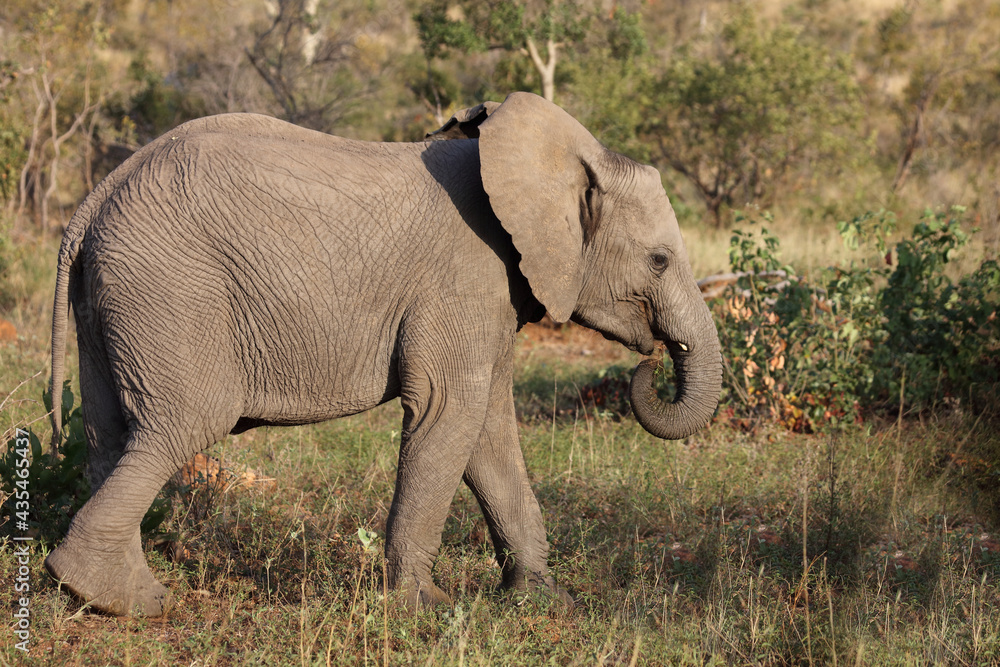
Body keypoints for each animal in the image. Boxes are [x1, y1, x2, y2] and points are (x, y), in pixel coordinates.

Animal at [46, 92, 722, 617]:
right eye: (659, 260)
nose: (651, 361)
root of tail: (92, 204)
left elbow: (488, 431)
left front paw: (545, 603)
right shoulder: (464, 275)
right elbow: (449, 411)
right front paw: (423, 610)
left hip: (114, 299)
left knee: (109, 435)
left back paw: (104, 593)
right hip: (170, 291)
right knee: (184, 423)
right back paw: (125, 600)